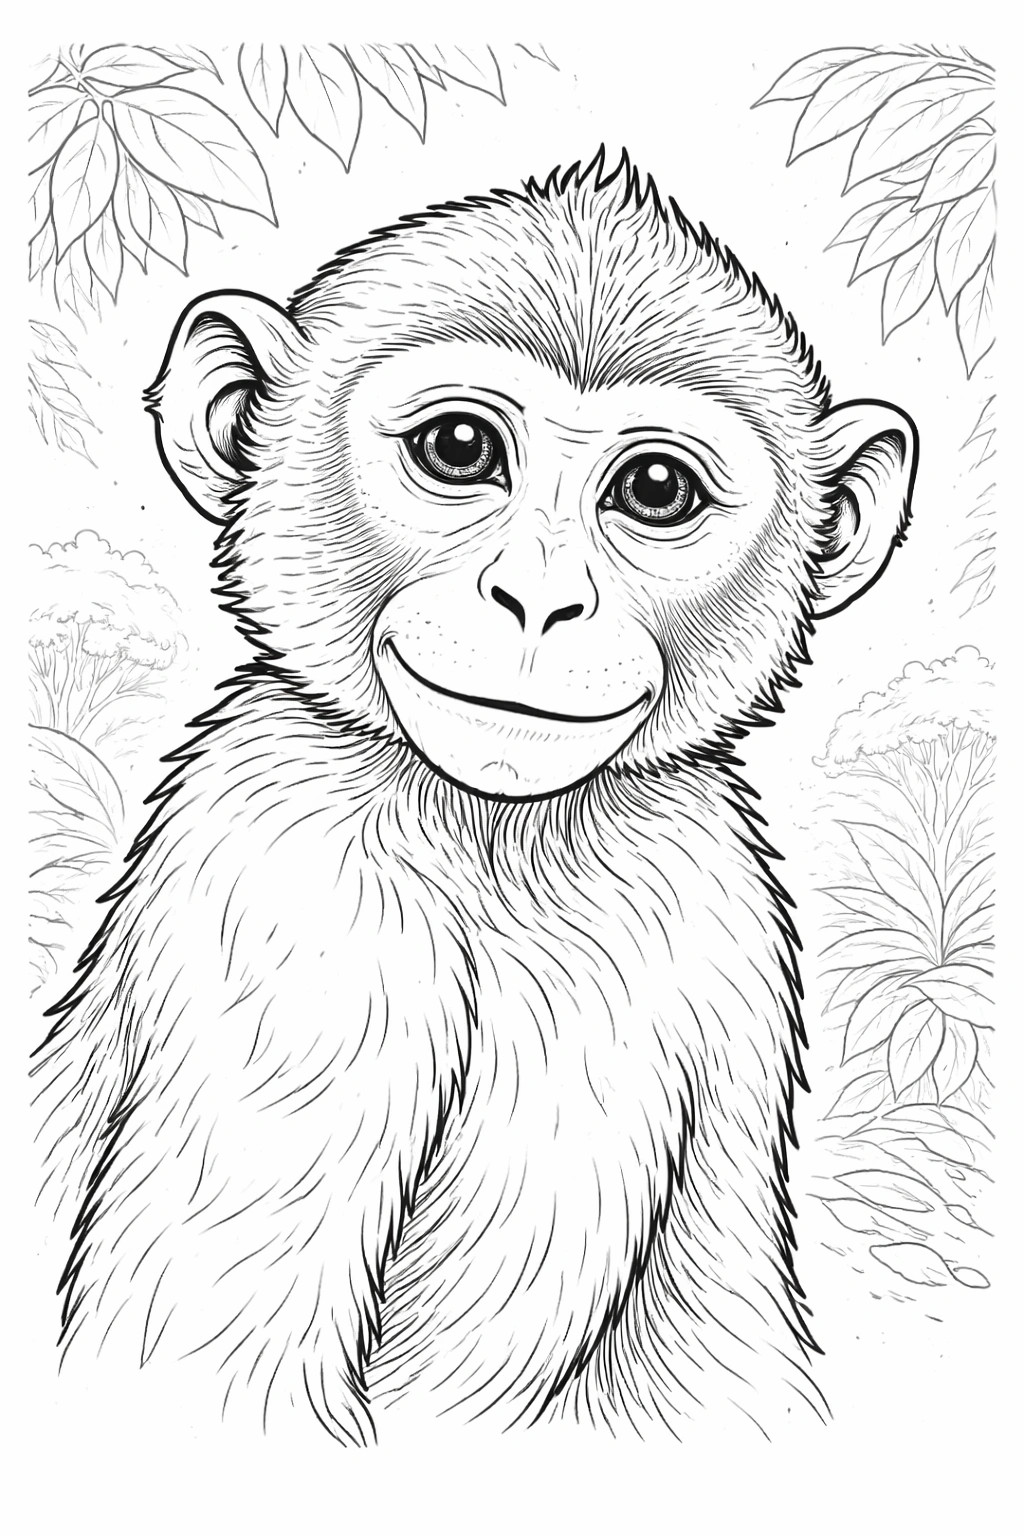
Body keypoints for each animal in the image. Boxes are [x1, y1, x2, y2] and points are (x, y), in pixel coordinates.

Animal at [32, 149, 917, 1447]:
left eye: (654, 488)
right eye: (458, 449)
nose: (538, 601)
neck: (499, 840)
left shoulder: (721, 912)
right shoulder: (295, 910)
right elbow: (200, 1373)